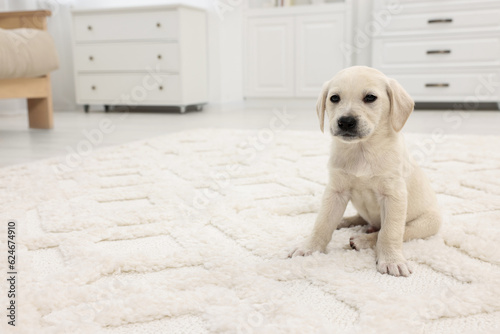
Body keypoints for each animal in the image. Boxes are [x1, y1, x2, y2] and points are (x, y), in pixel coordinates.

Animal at [290, 65, 442, 276]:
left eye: (370, 97)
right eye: (334, 98)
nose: (346, 121)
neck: (362, 149)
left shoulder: (394, 195)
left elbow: (390, 232)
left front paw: (391, 259)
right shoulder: (336, 191)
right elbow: (322, 223)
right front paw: (310, 247)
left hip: (428, 222)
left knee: (393, 231)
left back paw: (362, 239)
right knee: (361, 218)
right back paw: (344, 222)